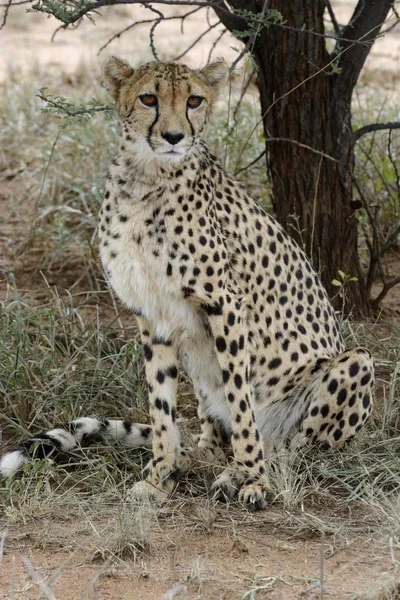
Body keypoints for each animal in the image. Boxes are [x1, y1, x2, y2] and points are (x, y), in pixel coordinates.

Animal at [1, 57, 374, 510]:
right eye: (149, 98)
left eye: (194, 100)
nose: (174, 136)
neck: (146, 178)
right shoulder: (152, 313)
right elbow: (161, 404)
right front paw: (160, 477)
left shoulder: (225, 304)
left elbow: (241, 398)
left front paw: (253, 479)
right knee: (213, 434)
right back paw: (203, 454)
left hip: (355, 364)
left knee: (292, 447)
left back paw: (246, 467)